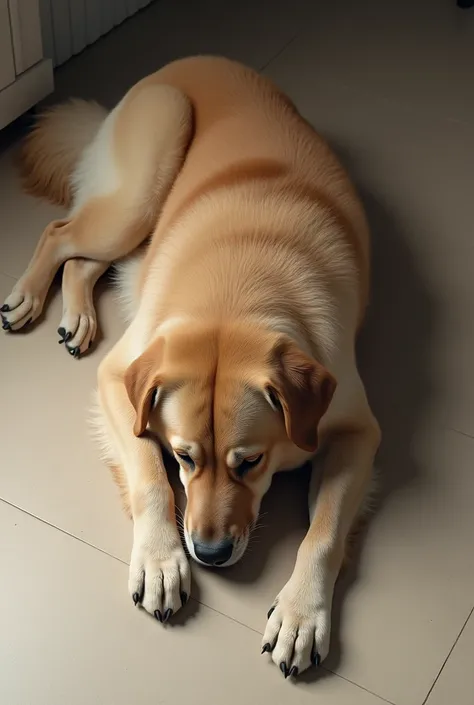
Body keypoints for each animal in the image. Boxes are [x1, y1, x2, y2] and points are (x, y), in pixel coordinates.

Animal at [1, 56, 380, 676]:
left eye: (250, 462)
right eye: (182, 456)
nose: (209, 553)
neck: (240, 291)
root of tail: (191, 61)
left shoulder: (358, 430)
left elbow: (322, 532)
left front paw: (301, 614)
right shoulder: (119, 380)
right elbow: (149, 478)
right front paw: (160, 561)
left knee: (83, 261)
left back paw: (76, 318)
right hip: (145, 180)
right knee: (60, 234)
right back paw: (27, 298)